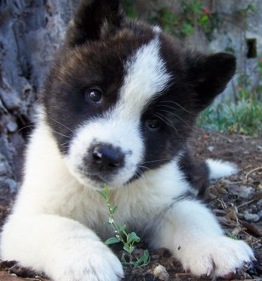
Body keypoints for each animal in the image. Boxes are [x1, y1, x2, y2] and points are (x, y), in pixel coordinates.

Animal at [0, 0, 254, 280]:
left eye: (153, 123)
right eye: (94, 94)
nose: (106, 157)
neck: (105, 194)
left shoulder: (168, 197)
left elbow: (191, 215)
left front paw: (217, 246)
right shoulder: (22, 220)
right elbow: (62, 226)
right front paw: (88, 260)